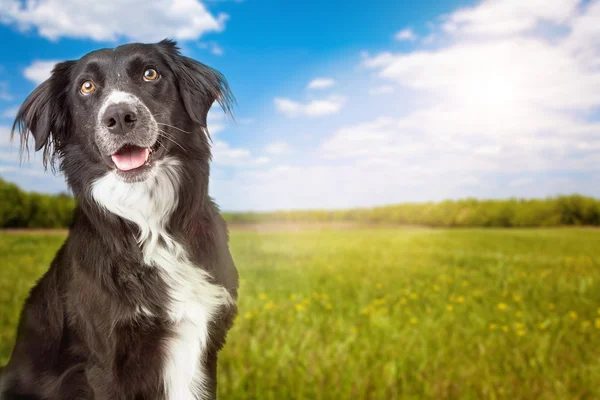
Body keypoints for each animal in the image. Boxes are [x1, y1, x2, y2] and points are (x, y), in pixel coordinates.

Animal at [0, 38, 239, 400]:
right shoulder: (104, 365)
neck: (150, 223)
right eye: (86, 86)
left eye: (151, 73)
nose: (120, 116)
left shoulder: (206, 345)